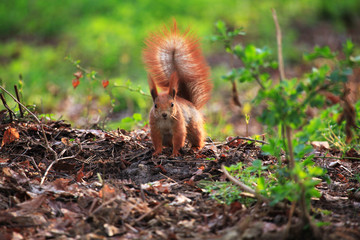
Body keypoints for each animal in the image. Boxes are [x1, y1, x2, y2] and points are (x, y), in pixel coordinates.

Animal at [142, 19, 212, 157]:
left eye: (172, 104)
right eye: (155, 105)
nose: (164, 114)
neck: (165, 121)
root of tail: (190, 102)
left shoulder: (179, 125)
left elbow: (179, 138)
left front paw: (175, 153)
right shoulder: (154, 127)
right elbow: (157, 141)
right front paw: (157, 152)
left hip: (194, 127)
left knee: (197, 138)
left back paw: (195, 148)